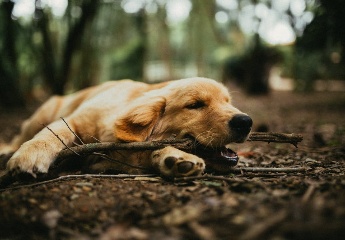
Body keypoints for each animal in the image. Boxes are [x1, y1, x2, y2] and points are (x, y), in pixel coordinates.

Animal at [1, 77, 251, 178]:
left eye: (228, 102)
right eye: (195, 105)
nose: (245, 122)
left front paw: (174, 158)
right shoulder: (73, 121)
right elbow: (52, 135)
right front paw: (30, 154)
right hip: (43, 113)